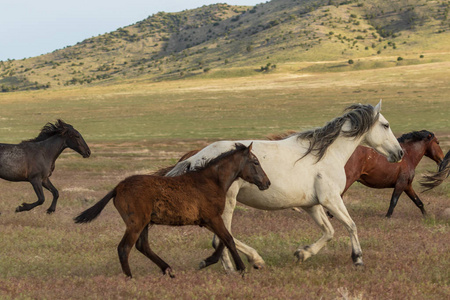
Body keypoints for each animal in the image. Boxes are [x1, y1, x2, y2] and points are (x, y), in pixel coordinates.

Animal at [74, 144, 270, 278]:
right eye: (255, 161)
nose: (266, 183)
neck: (211, 181)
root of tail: (117, 188)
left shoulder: (208, 221)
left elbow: (224, 240)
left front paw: (207, 261)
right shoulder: (212, 218)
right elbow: (228, 239)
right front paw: (242, 268)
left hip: (144, 223)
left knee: (142, 246)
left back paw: (168, 269)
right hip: (136, 223)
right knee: (124, 248)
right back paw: (130, 278)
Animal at [166, 101, 404, 270]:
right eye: (386, 125)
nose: (400, 153)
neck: (326, 155)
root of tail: (195, 158)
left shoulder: (312, 205)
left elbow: (329, 231)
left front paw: (302, 253)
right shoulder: (331, 199)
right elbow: (351, 225)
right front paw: (358, 259)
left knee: (220, 238)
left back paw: (232, 266)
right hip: (228, 203)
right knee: (222, 237)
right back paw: (252, 261)